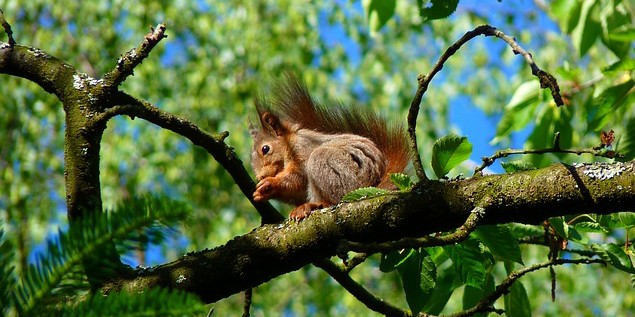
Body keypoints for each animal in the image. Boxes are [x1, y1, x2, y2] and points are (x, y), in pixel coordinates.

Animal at [251, 76, 410, 220]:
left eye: (265, 149)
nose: (260, 177)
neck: (289, 143)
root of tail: (373, 185)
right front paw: (262, 192)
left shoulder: (302, 148)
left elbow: (297, 177)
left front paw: (270, 183)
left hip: (335, 169)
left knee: (336, 199)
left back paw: (314, 205)